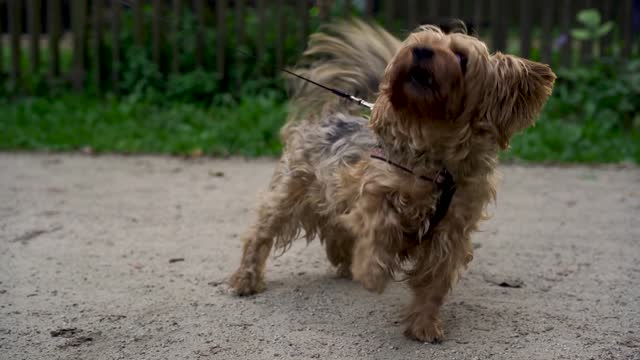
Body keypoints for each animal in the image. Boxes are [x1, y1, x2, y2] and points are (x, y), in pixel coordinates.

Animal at [230, 20, 556, 344]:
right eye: (421, 41)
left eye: (462, 57)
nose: (421, 50)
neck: (437, 161)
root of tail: (333, 114)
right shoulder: (372, 192)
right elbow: (380, 226)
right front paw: (372, 272)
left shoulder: (451, 232)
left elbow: (433, 283)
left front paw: (424, 323)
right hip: (290, 193)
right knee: (260, 234)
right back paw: (246, 279)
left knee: (334, 229)